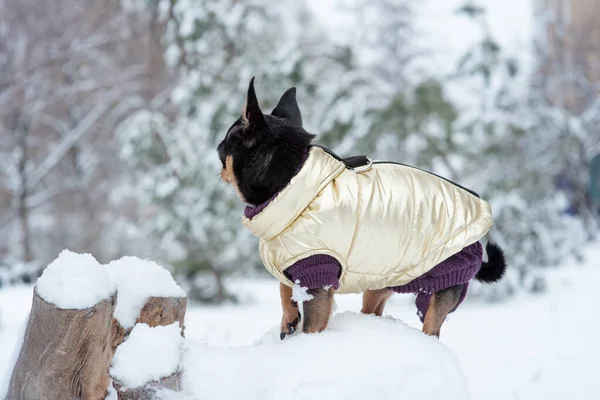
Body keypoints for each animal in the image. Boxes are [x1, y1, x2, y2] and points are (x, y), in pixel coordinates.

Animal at [217, 77, 506, 338]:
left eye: (223, 147)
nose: (217, 150)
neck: (296, 182)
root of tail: (477, 244)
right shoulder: (294, 263)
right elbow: (284, 287)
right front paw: (288, 317)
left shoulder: (318, 275)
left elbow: (311, 325)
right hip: (379, 281)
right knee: (373, 308)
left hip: (440, 288)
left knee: (431, 328)